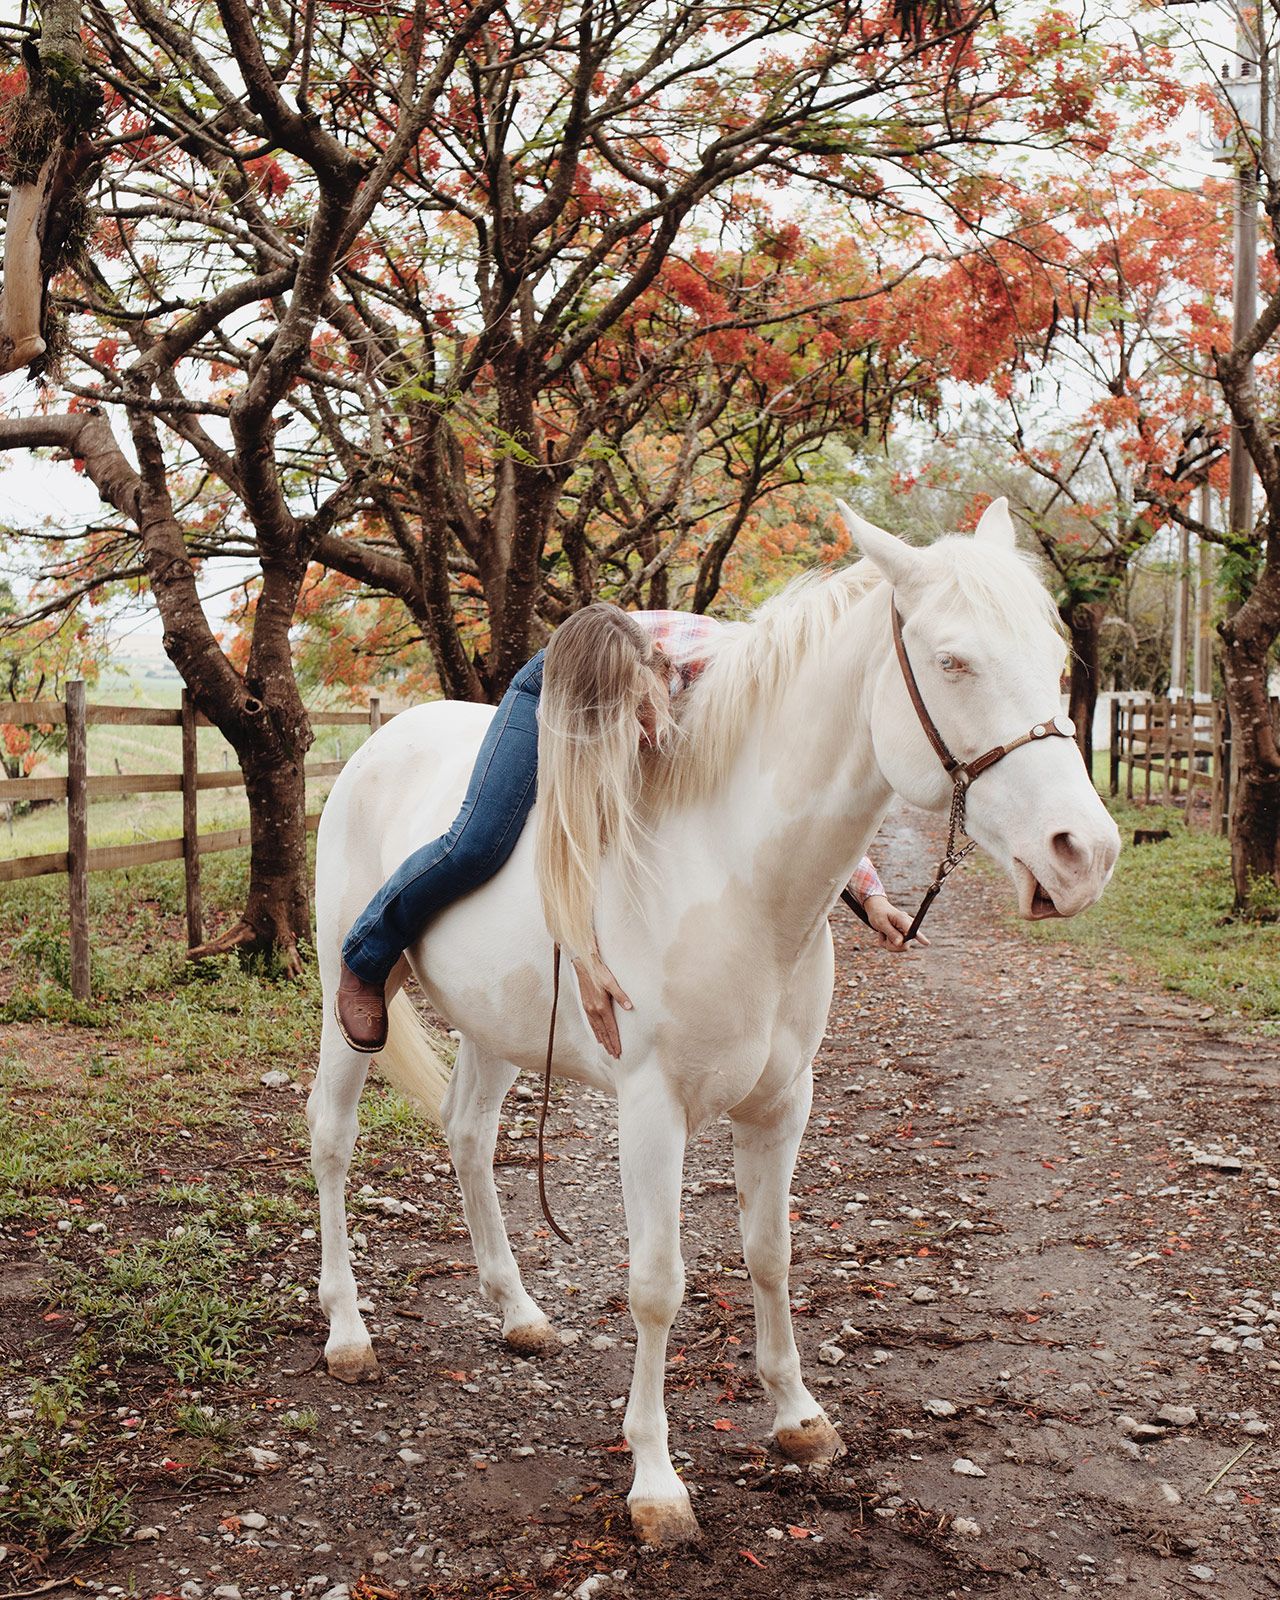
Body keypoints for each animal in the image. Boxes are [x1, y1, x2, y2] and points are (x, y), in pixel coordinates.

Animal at [307, 498, 1120, 1545]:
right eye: (952, 662)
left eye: (1058, 659)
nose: (1083, 854)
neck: (733, 876)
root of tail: (378, 744)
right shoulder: (652, 1111)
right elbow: (657, 1285)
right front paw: (656, 1484)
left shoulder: (781, 1103)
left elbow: (770, 1254)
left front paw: (799, 1419)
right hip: (347, 1010)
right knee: (333, 1138)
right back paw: (347, 1332)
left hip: (501, 1029)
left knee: (470, 1137)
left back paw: (517, 1311)